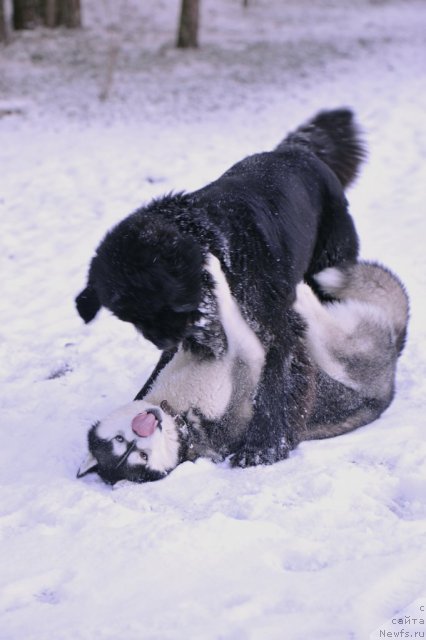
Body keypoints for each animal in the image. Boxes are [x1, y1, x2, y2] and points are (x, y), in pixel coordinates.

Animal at [75, 107, 364, 468]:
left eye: (172, 306)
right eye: (135, 321)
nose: (163, 341)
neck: (215, 241)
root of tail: (298, 149)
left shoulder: (276, 330)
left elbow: (275, 387)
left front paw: (264, 447)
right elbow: (156, 376)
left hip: (328, 271)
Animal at [78, 260, 408, 484]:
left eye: (121, 440)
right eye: (139, 455)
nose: (144, 429)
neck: (182, 415)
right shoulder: (249, 358)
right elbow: (230, 312)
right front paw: (214, 268)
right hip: (337, 350)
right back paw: (301, 295)